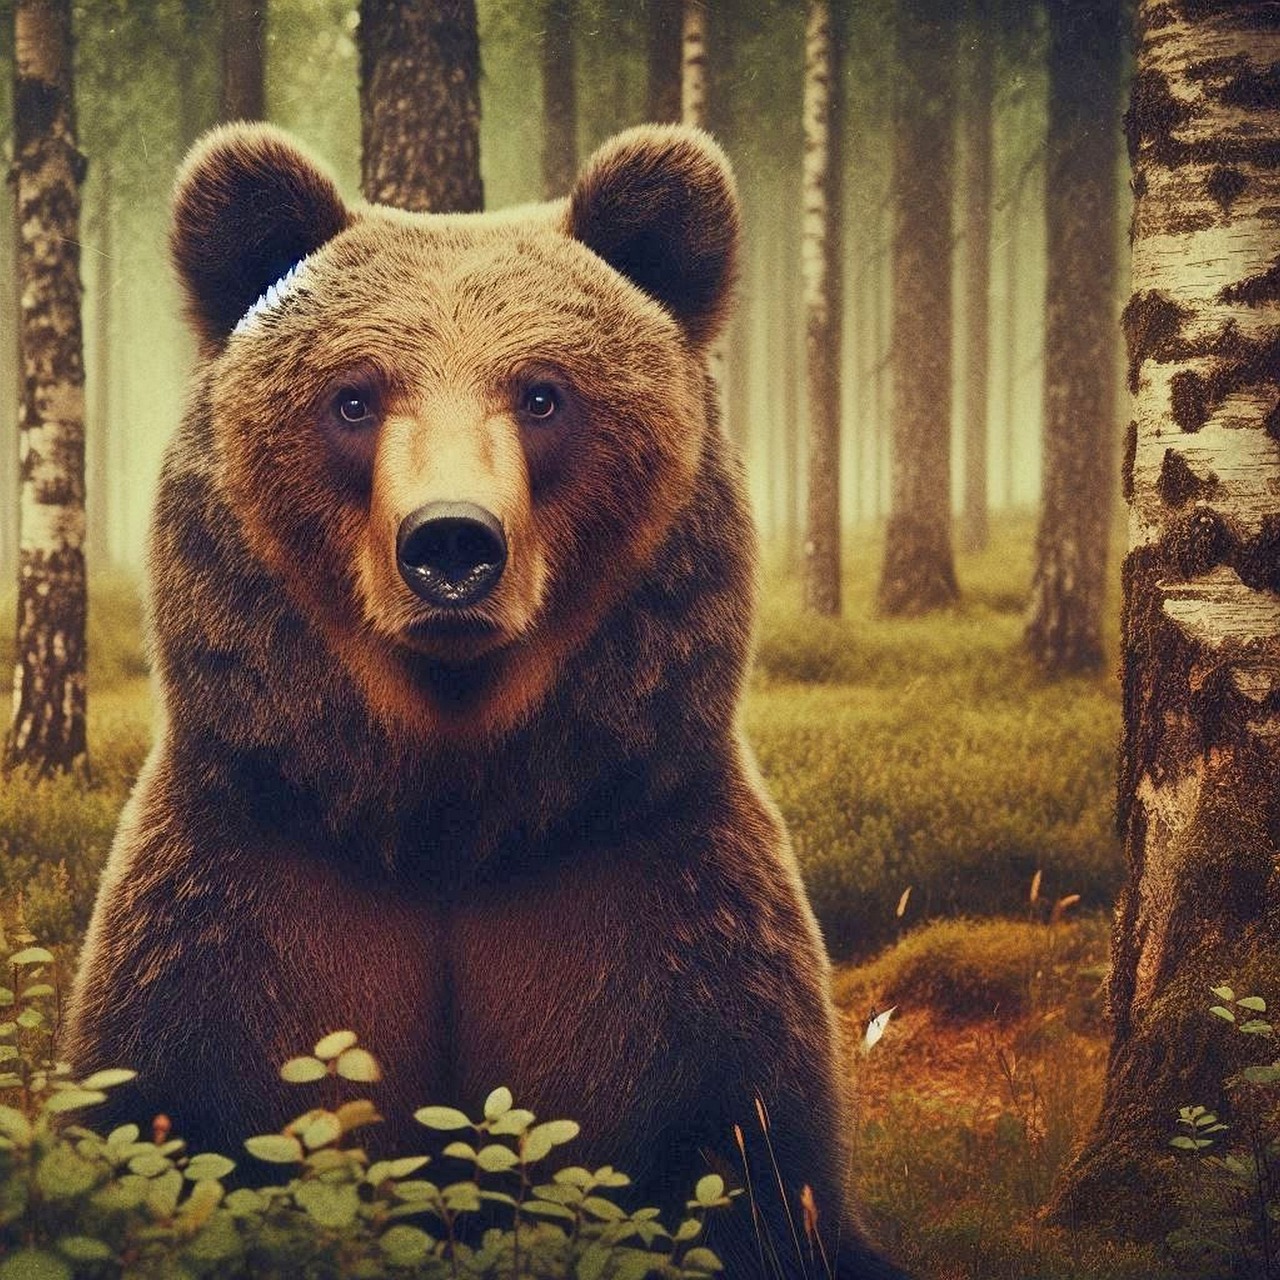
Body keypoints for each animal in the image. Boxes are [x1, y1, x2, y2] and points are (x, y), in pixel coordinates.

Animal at [63, 122, 905, 1279]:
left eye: (544, 392)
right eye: (354, 396)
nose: (452, 543)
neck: (453, 812)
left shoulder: (651, 892)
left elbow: (744, 1157)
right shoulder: (247, 888)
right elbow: (171, 1101)